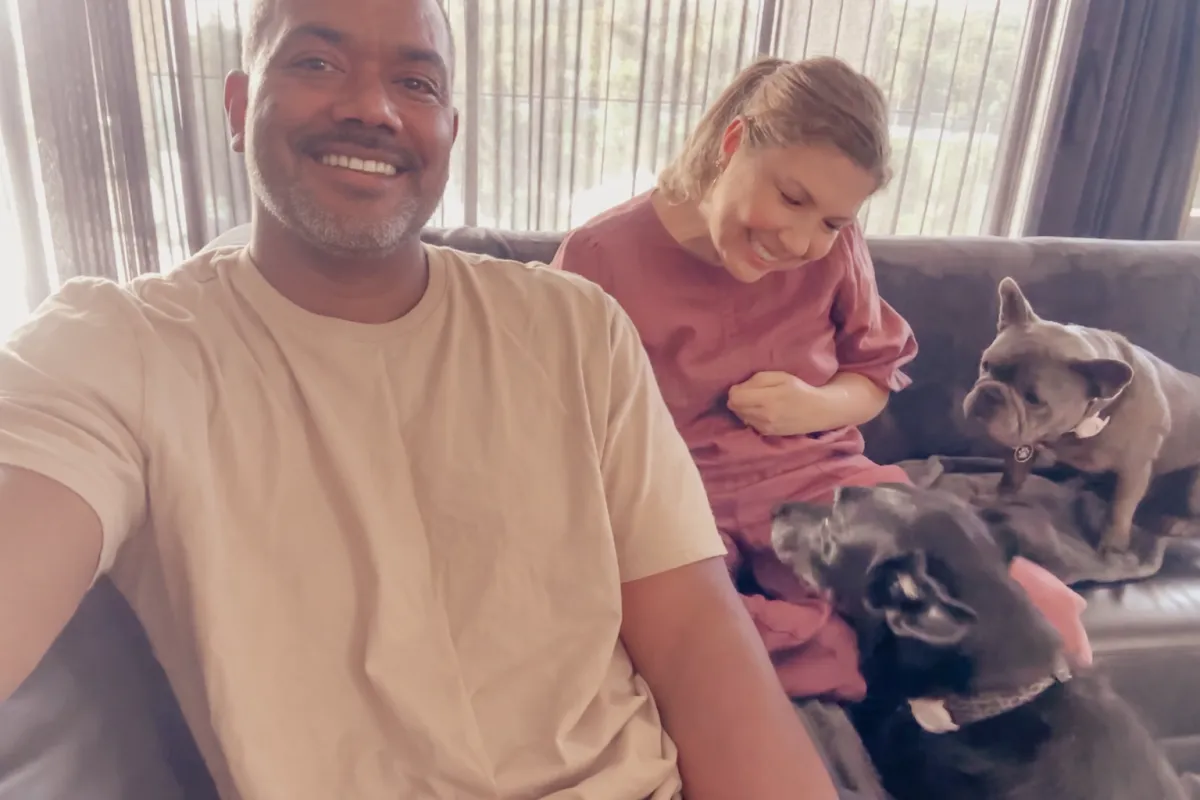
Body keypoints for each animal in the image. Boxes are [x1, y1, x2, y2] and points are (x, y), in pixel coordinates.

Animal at [962, 276, 1200, 554]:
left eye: (1033, 398)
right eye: (986, 365)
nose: (990, 393)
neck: (1081, 426)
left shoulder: (1134, 470)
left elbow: (1120, 509)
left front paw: (1113, 546)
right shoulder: (1022, 446)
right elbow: (1012, 476)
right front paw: (997, 497)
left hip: (1194, 488)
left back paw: (1177, 524)